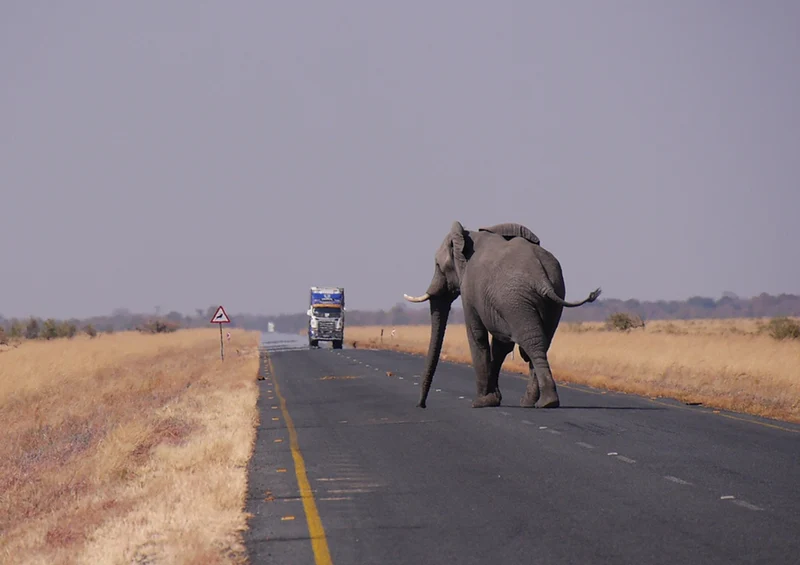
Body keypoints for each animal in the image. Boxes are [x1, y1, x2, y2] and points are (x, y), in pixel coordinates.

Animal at [403, 221, 601, 409]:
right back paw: (534, 402)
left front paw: (481, 402)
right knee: (540, 343)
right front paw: (493, 399)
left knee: (531, 343)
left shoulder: (470, 290)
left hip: (515, 300)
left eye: (438, 266)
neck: (467, 236)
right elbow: (500, 346)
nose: (421, 405)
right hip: (550, 295)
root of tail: (542, 279)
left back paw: (545, 402)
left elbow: (477, 336)